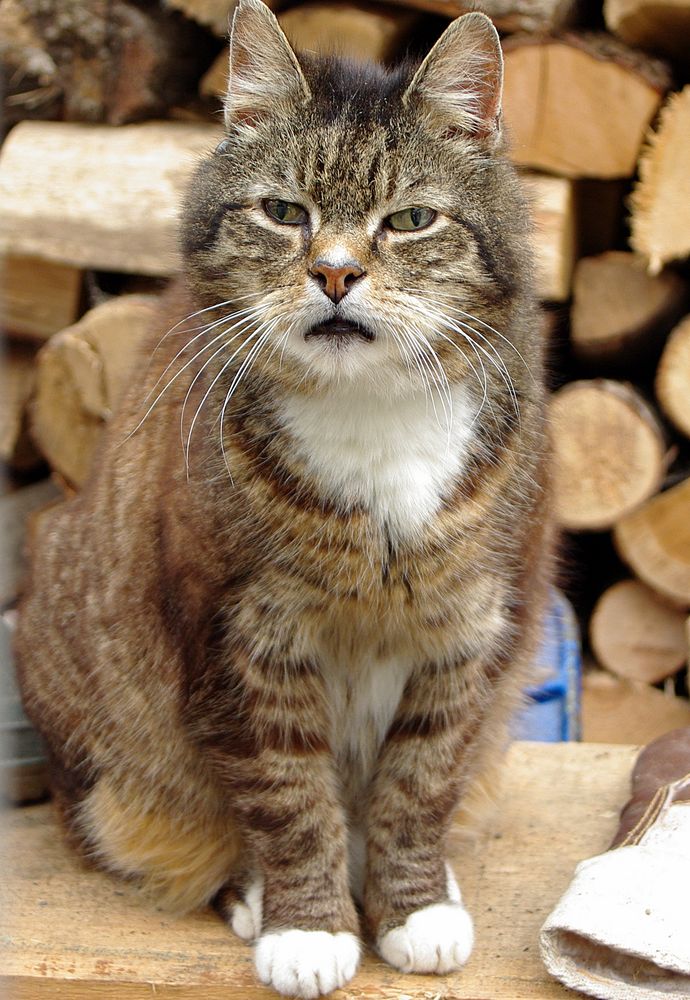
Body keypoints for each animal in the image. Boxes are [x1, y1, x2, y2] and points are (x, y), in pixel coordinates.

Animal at [16, 3, 552, 996]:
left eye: (410, 219)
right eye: (283, 211)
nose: (335, 274)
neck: (370, 415)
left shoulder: (472, 629)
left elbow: (422, 781)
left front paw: (414, 906)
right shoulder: (239, 636)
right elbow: (287, 793)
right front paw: (307, 927)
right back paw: (254, 890)